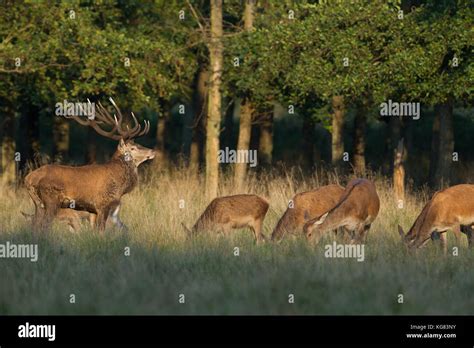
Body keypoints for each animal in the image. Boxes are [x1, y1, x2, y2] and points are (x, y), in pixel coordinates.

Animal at [25, 98, 155, 232]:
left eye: (138, 144)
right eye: (133, 148)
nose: (152, 151)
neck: (120, 187)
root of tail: (29, 178)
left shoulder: (93, 210)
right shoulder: (103, 204)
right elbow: (101, 230)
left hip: (38, 204)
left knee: (34, 225)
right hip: (51, 200)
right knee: (43, 226)